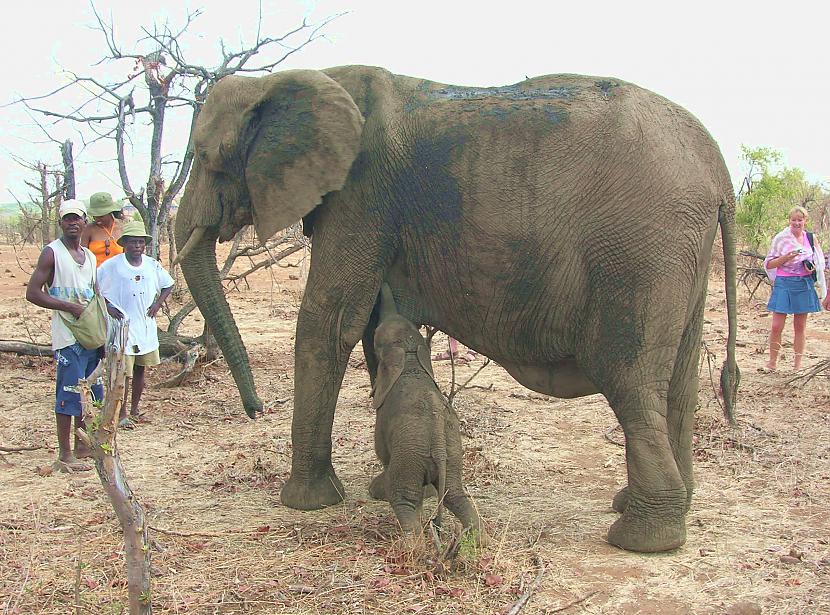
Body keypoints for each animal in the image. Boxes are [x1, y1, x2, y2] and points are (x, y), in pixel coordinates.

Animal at [370, 284, 488, 544]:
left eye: (375, 340)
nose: (383, 286)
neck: (410, 353)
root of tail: (439, 443)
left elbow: (382, 452)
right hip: (453, 452)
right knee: (456, 494)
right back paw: (476, 540)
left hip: (410, 454)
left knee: (403, 498)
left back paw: (412, 545)